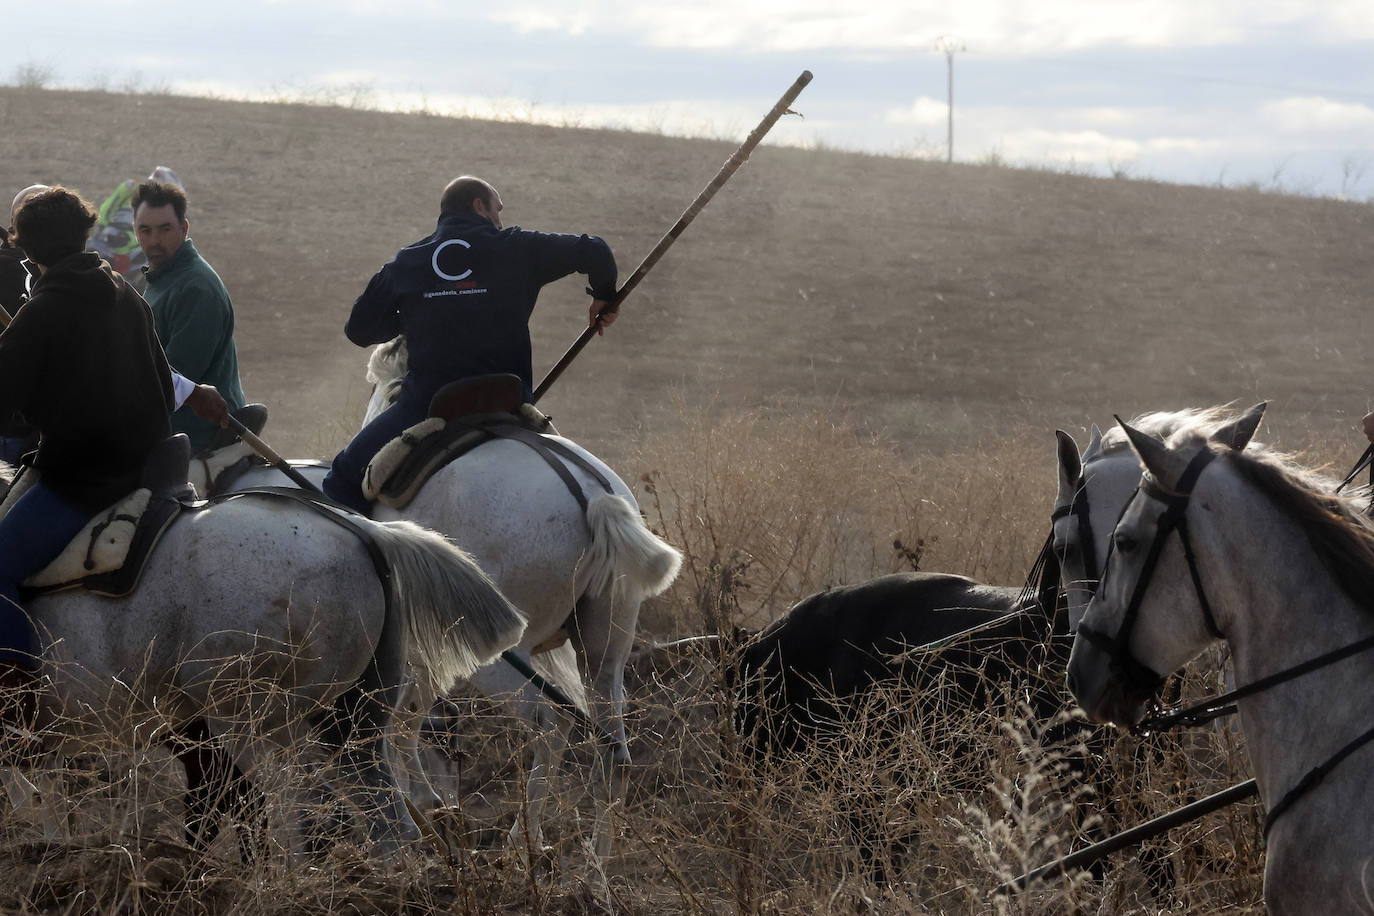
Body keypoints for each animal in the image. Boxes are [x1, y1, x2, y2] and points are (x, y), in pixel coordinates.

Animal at [233, 336, 687, 862]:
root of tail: (589, 495)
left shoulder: (418, 651)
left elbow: (402, 721)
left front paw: (423, 802)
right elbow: (409, 719)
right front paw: (429, 803)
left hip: (504, 657)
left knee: (551, 726)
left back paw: (521, 845)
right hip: (606, 648)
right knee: (612, 749)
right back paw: (594, 864)